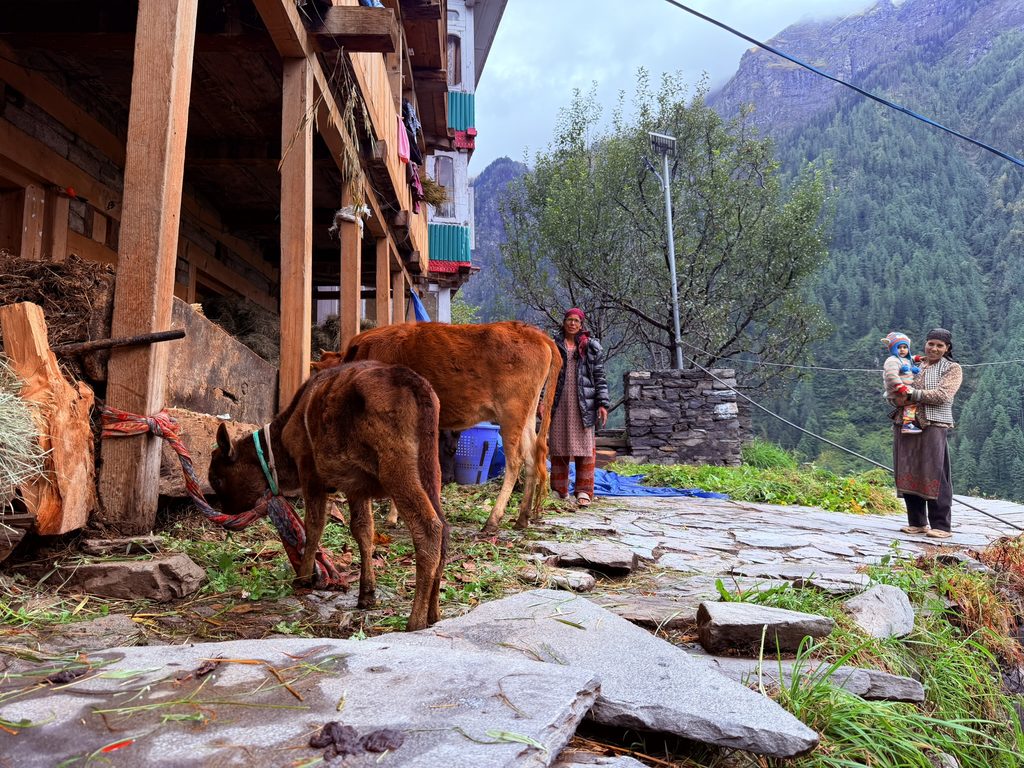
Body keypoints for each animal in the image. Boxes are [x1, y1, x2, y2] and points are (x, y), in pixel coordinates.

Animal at [208, 361, 447, 631]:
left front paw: (303, 576)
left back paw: (415, 621)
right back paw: (433, 613)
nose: (226, 513)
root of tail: (411, 379)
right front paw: (367, 593)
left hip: (397, 469)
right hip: (430, 469)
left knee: (430, 527)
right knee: (444, 530)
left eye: (217, 479)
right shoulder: (357, 486)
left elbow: (314, 524)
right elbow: (363, 530)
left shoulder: (309, 470)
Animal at [314, 321, 562, 532]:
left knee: (515, 460)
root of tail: (533, 332)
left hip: (511, 412)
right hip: (527, 414)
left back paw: (493, 520)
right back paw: (522, 518)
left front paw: (394, 516)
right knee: (532, 457)